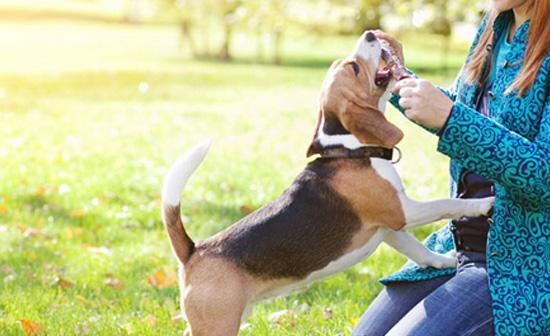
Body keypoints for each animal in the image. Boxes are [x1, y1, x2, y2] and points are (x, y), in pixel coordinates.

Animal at [160, 30, 496, 334]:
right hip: (218, 323)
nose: (370, 33)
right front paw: (483, 204)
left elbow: (419, 251)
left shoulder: (389, 227)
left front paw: (445, 262)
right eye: (355, 68)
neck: (352, 148)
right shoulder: (402, 212)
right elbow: (446, 204)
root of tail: (194, 251)